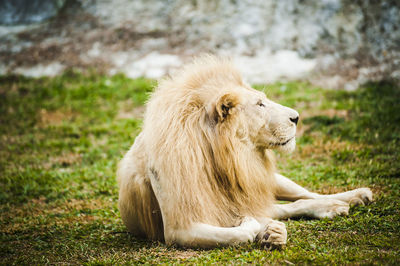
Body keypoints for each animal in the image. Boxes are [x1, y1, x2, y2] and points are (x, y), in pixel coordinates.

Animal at [117, 55, 374, 248]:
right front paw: (265, 231)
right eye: (260, 104)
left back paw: (352, 197)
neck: (228, 158)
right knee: (288, 207)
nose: (297, 117)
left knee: (306, 195)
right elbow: (238, 232)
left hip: (273, 180)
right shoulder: (180, 228)